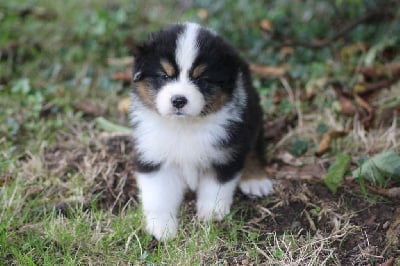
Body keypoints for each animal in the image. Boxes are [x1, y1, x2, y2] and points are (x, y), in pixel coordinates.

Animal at [130, 21, 274, 240]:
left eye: (202, 80)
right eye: (164, 76)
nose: (178, 100)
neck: (184, 126)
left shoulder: (225, 150)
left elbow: (216, 186)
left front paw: (211, 213)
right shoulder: (153, 153)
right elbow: (159, 192)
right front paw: (162, 227)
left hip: (252, 113)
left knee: (254, 145)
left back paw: (256, 179)